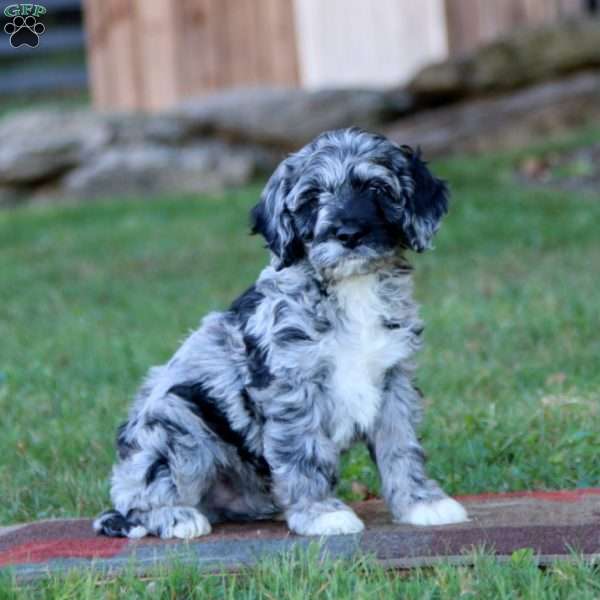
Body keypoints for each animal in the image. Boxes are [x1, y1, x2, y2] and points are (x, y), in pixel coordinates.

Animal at [95, 126, 468, 540]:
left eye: (378, 189)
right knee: (135, 501)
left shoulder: (394, 381)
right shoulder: (292, 387)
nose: (348, 233)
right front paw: (321, 513)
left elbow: (401, 447)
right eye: (311, 198)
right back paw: (175, 517)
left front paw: (422, 503)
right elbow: (303, 452)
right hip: (180, 424)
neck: (352, 288)